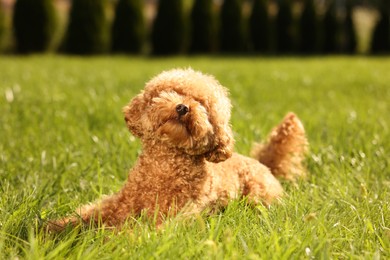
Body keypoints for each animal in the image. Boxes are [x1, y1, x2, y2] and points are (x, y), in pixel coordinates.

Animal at [46, 68, 308, 232]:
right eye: (173, 91)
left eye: (202, 104)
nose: (183, 107)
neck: (165, 164)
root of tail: (264, 163)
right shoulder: (120, 202)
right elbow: (85, 214)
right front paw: (51, 228)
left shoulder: (177, 214)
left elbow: (143, 231)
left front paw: (117, 239)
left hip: (258, 196)